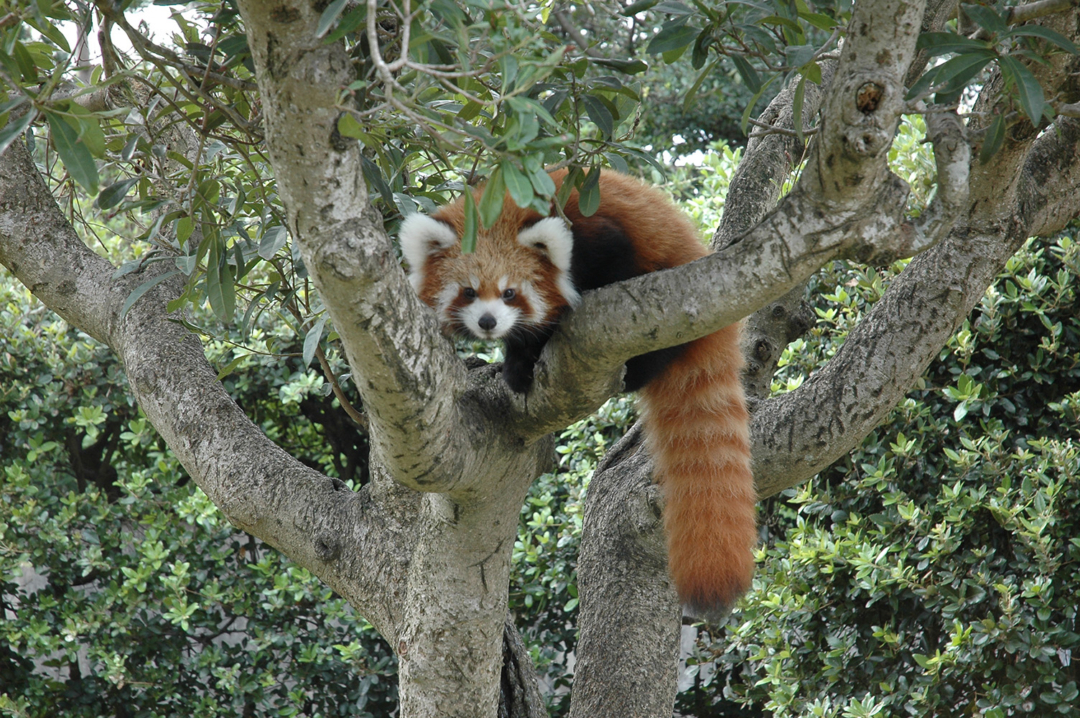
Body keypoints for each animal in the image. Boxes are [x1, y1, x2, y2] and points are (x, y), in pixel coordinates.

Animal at [401, 166, 756, 617]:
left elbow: (611, 262)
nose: (487, 322)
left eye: (510, 293)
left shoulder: (593, 230)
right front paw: (517, 365)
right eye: (468, 291)